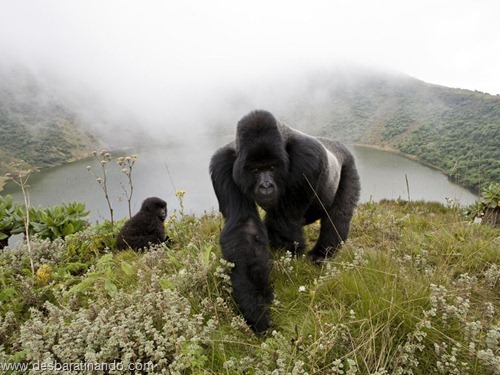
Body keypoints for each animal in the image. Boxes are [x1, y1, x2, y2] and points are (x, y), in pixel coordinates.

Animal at [209, 110, 362, 334]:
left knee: (338, 216)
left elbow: (282, 225)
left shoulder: (307, 158)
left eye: (272, 168)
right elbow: (245, 228)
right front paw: (256, 308)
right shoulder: (223, 165)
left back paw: (321, 254)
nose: (265, 186)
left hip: (349, 163)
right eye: (255, 170)